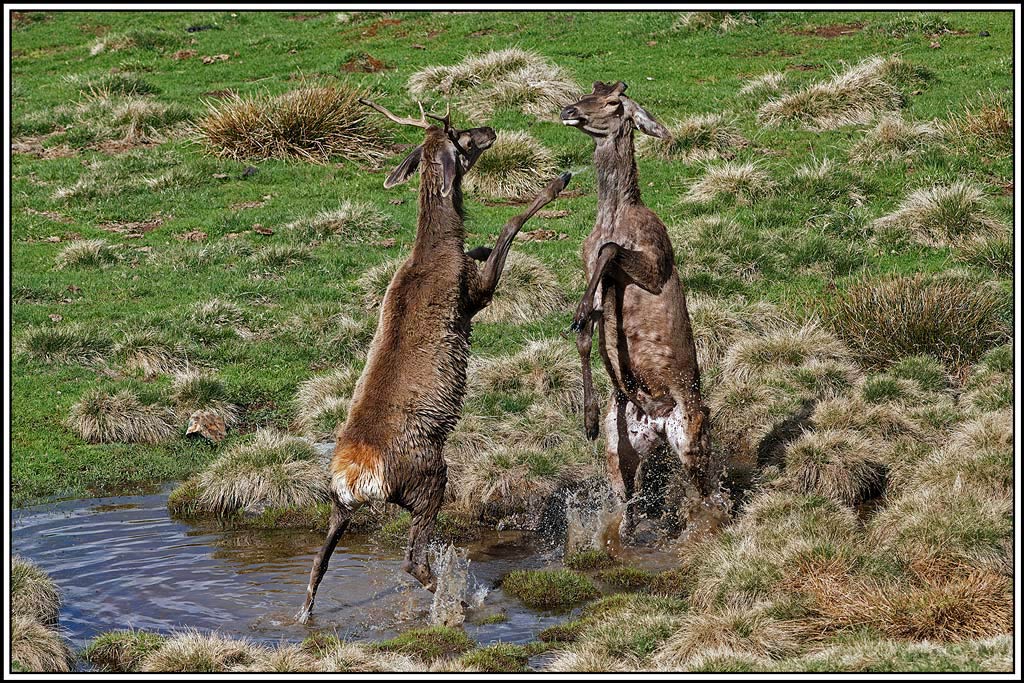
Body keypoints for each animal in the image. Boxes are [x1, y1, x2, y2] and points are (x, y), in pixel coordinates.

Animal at [297, 99, 571, 623]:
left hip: (338, 505)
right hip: (428, 479)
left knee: (318, 563)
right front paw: (559, 180)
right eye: (461, 136)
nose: (489, 129)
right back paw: (459, 602)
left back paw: (305, 614)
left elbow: (487, 243)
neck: (434, 250)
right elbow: (508, 229)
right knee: (412, 559)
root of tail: (357, 478)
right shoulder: (474, 295)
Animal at [560, 81, 726, 543]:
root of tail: (657, 425)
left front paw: (580, 312)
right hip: (621, 448)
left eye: (614, 103)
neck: (613, 216)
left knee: (707, 491)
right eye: (589, 91)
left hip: (691, 434)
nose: (569, 110)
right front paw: (588, 419)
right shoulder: (589, 265)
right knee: (630, 500)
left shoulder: (653, 261)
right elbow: (589, 327)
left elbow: (610, 251)